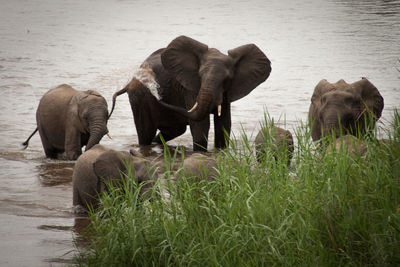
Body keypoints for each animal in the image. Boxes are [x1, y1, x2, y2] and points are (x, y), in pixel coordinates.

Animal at [111, 35, 270, 152]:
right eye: (199, 75)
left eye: (227, 80)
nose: (157, 92)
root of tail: (130, 82)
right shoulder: (190, 88)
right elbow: (200, 126)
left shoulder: (226, 92)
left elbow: (224, 124)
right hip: (140, 98)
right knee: (146, 133)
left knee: (175, 130)